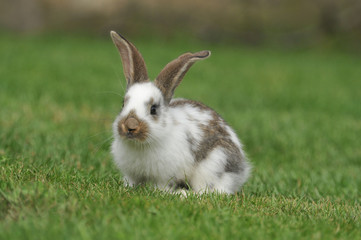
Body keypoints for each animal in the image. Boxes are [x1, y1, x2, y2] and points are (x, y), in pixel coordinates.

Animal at [109, 31, 250, 194]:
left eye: (153, 109)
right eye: (123, 104)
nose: (130, 126)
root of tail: (242, 170)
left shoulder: (164, 177)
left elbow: (162, 185)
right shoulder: (131, 175)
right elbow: (131, 182)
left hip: (216, 163)